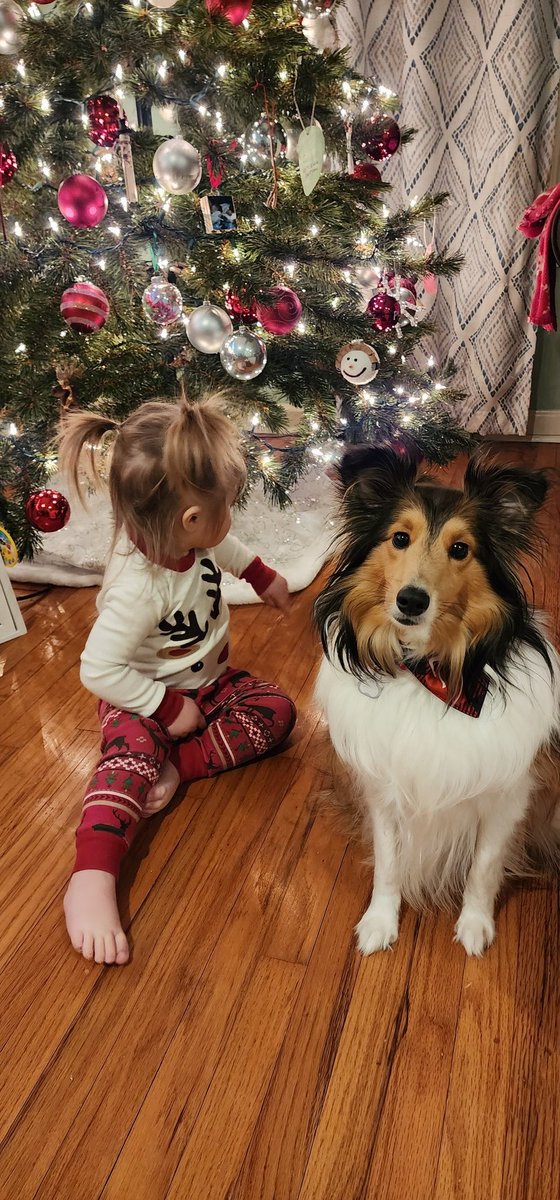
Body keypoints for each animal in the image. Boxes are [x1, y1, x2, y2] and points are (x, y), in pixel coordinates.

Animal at [316, 448, 560, 955]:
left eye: (460, 549)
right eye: (400, 538)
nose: (411, 601)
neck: (427, 674)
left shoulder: (507, 798)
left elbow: (483, 868)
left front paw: (475, 925)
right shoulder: (383, 792)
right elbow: (388, 864)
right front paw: (380, 922)